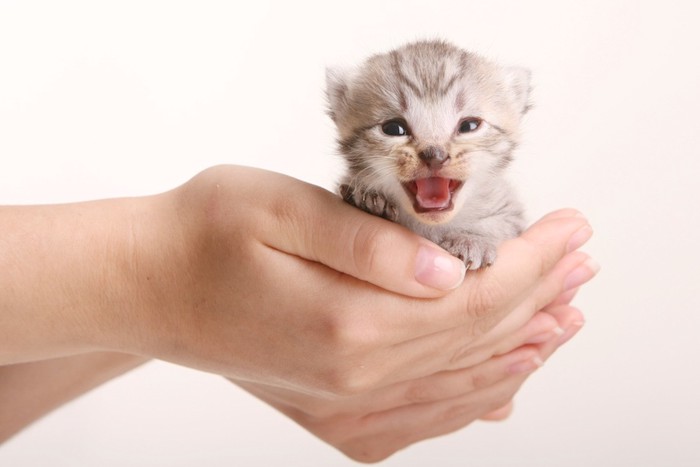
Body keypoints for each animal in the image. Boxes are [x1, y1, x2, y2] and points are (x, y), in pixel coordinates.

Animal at [328, 40, 532, 270]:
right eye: (393, 128)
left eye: (469, 125)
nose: (435, 155)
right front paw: (367, 201)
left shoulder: (510, 209)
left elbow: (503, 221)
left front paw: (472, 239)